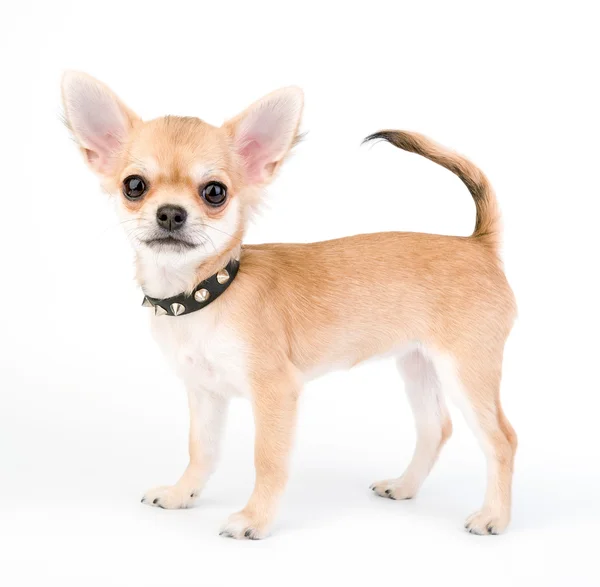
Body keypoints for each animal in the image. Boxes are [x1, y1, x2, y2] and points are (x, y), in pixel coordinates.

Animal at [61, 71, 516, 540]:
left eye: (215, 192)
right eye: (134, 185)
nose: (170, 213)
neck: (205, 294)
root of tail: (478, 244)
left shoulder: (275, 393)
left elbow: (268, 461)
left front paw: (255, 519)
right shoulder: (204, 394)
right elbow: (202, 450)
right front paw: (182, 493)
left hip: (466, 369)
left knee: (502, 440)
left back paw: (494, 517)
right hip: (417, 363)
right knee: (435, 427)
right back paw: (405, 486)